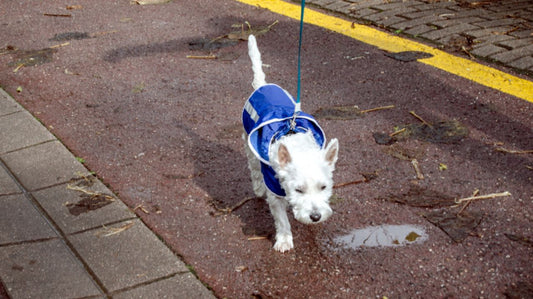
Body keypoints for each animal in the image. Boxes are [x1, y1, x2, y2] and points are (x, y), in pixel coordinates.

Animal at [241, 34, 336, 253]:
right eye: (298, 189)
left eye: (324, 187)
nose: (315, 217)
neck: (296, 142)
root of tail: (262, 85)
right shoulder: (274, 190)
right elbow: (281, 218)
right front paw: (284, 240)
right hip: (249, 142)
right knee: (253, 168)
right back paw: (257, 188)